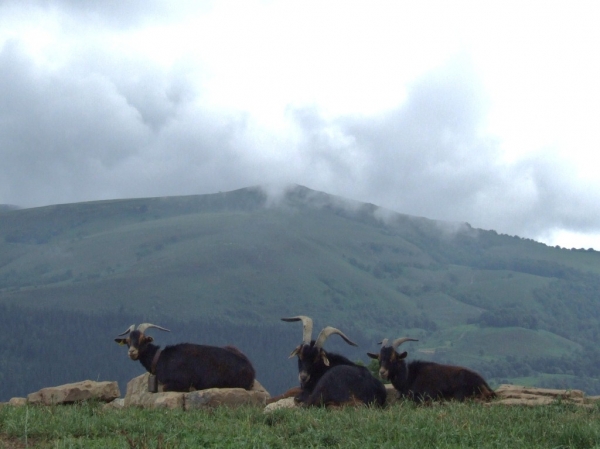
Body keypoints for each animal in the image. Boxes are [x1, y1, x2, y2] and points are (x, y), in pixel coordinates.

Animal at [115, 322, 255, 392]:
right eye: (128, 341)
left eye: (143, 339)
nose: (132, 352)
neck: (160, 359)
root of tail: (252, 370)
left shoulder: (181, 381)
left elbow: (165, 387)